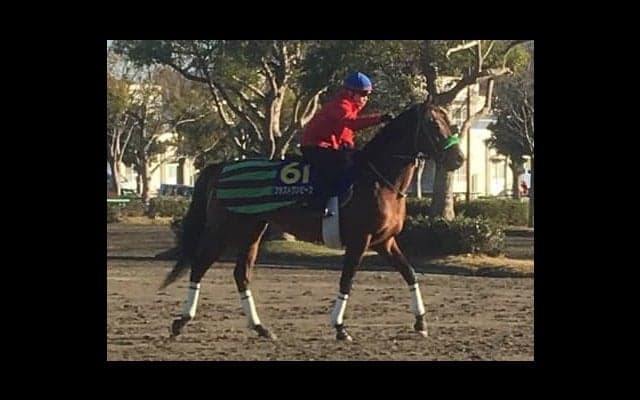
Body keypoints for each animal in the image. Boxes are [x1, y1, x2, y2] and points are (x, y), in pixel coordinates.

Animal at [161, 96, 465, 341]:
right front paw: (340, 327)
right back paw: (181, 321)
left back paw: (260, 328)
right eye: (434, 124)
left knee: (241, 274)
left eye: (450, 121)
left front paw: (421, 322)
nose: (459, 159)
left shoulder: (385, 242)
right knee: (199, 267)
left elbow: (410, 273)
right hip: (222, 229)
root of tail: (222, 167)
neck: (379, 178)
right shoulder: (360, 240)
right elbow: (346, 281)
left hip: (252, 230)